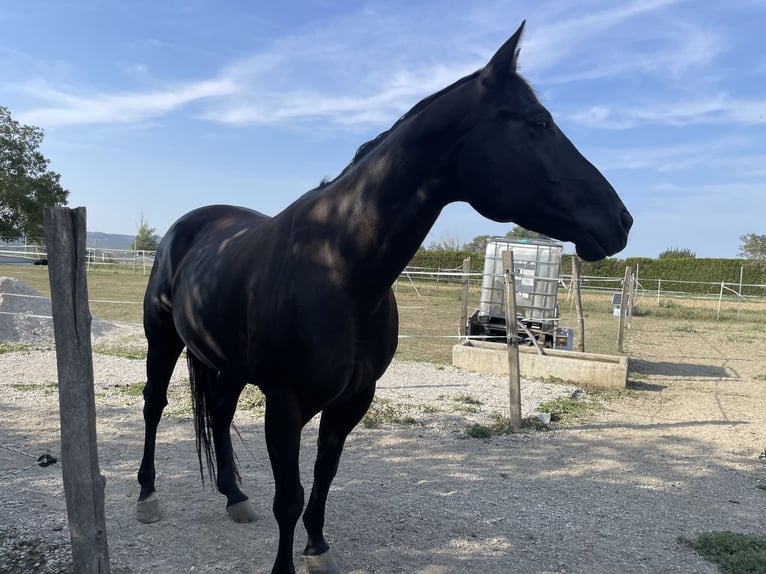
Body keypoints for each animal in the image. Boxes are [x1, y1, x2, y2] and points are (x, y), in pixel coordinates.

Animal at [138, 22, 636, 574]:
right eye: (539, 123)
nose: (621, 220)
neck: (339, 267)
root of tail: (189, 224)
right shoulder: (285, 406)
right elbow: (288, 497)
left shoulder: (353, 401)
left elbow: (325, 476)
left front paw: (317, 548)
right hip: (163, 341)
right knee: (155, 404)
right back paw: (147, 497)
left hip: (226, 362)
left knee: (221, 414)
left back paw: (234, 497)